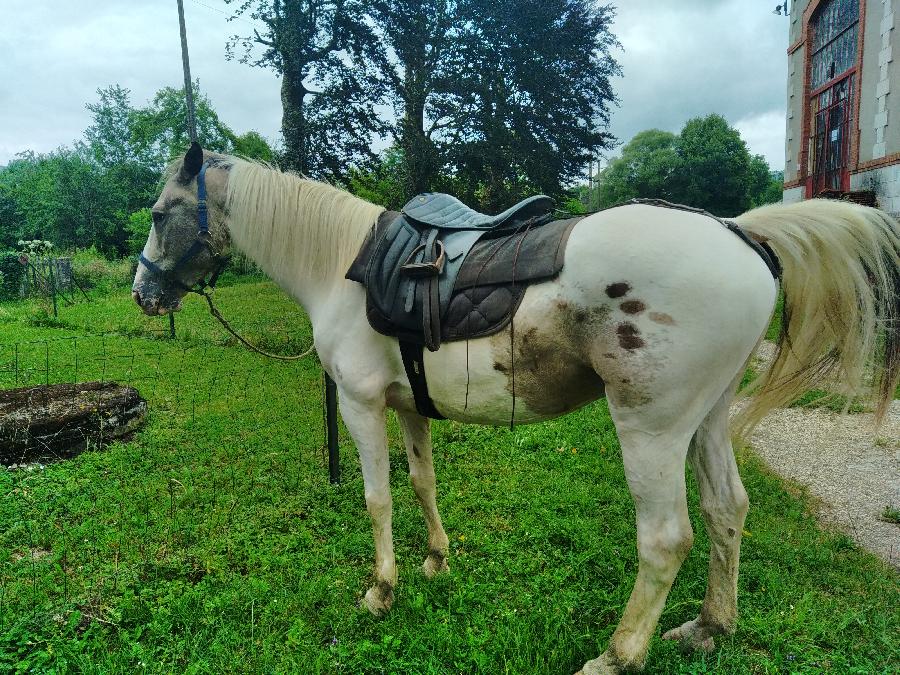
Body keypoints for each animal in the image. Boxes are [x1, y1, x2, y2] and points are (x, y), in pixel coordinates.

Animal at [134, 145, 900, 672]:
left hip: (652, 429)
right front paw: (436, 561)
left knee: (666, 539)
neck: (342, 264)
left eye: (159, 213)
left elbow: (378, 499)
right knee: (727, 510)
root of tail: (740, 231)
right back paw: (711, 626)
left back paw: (618, 654)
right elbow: (422, 482)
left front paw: (381, 592)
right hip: (707, 418)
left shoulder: (359, 405)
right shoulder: (407, 403)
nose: (144, 293)